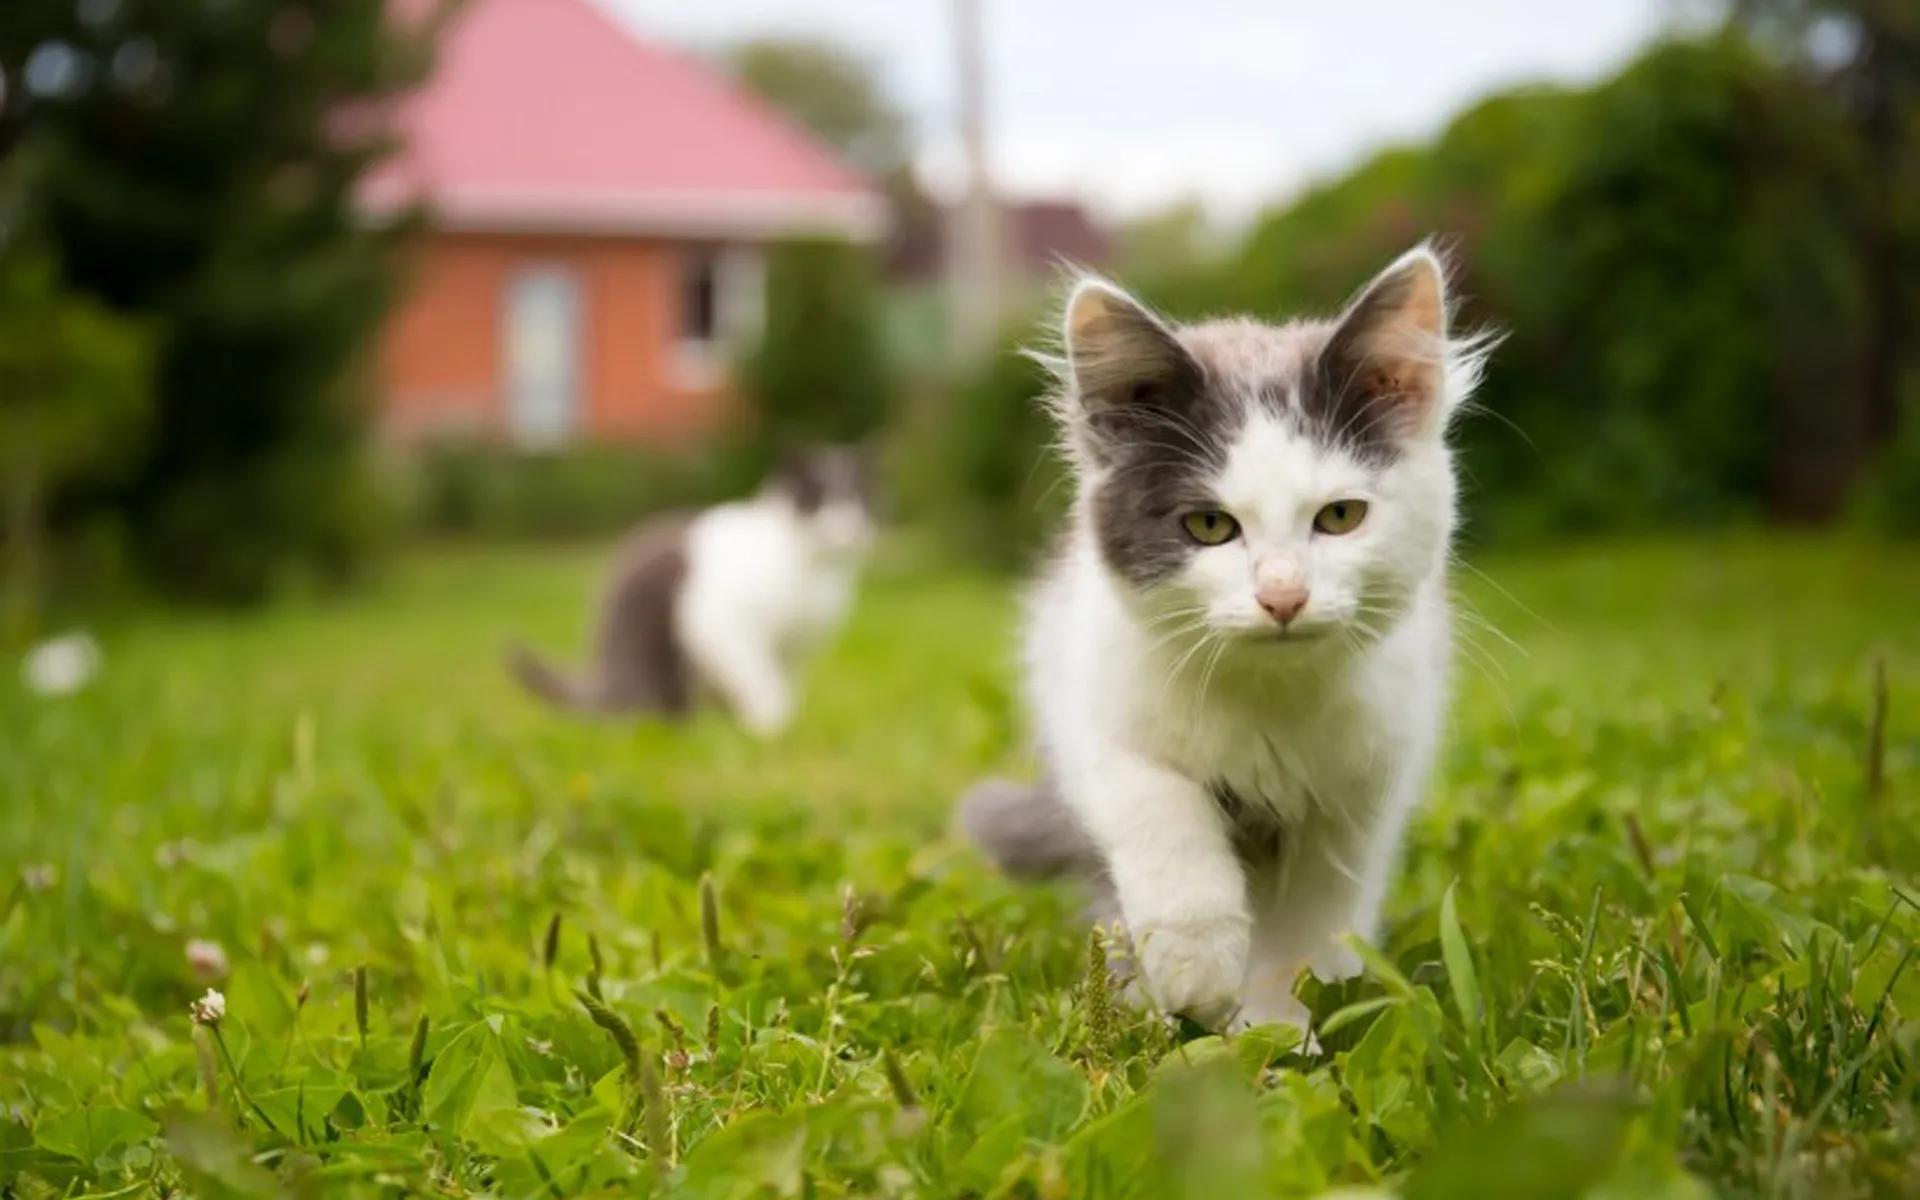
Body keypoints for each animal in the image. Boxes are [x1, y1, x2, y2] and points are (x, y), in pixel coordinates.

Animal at [506, 445, 875, 733]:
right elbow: (760, 680)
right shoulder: (724, 625)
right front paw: (769, 726)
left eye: (858, 500)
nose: (848, 527)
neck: (814, 571)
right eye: (818, 500)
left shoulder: (795, 650)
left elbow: (784, 685)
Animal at [960, 245, 1482, 1029]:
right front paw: (1196, 970)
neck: (1269, 697)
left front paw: (1280, 1029)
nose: (1283, 596)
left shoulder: (1362, 790)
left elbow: (1308, 931)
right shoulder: (1093, 709)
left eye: (1340, 517)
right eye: (1210, 526)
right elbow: (1163, 813)